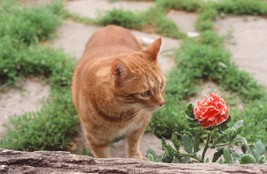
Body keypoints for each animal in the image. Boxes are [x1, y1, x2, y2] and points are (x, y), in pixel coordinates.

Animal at [72, 24, 166, 159]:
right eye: (145, 93)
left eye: (162, 85)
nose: (162, 103)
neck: (121, 112)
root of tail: (110, 25)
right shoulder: (96, 140)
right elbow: (104, 158)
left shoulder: (139, 126)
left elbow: (133, 144)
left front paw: (134, 157)